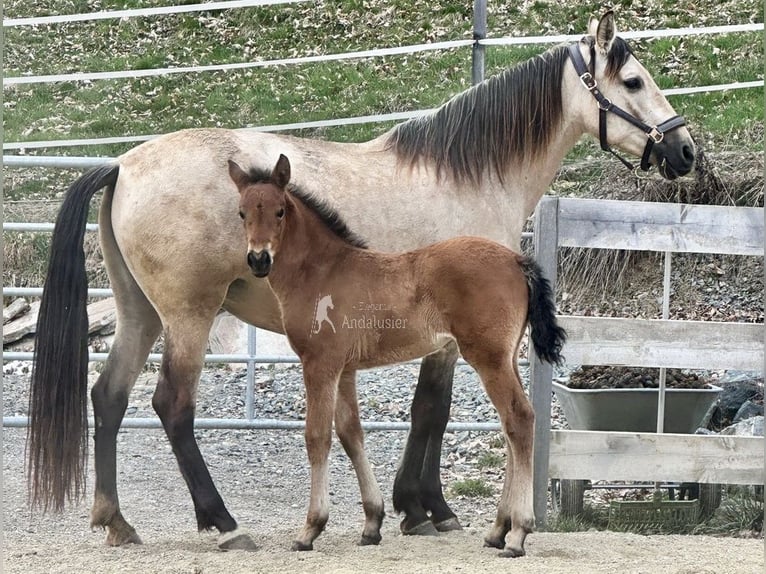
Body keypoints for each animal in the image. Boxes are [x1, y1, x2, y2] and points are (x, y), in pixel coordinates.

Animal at [230, 153, 566, 556]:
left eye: (279, 211)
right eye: (242, 212)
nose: (258, 259)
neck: (323, 271)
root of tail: (517, 259)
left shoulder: (319, 363)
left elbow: (317, 436)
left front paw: (310, 529)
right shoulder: (344, 369)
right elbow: (351, 433)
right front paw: (372, 524)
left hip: (488, 357)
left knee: (519, 419)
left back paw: (517, 534)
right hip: (507, 357)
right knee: (511, 425)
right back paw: (497, 529)